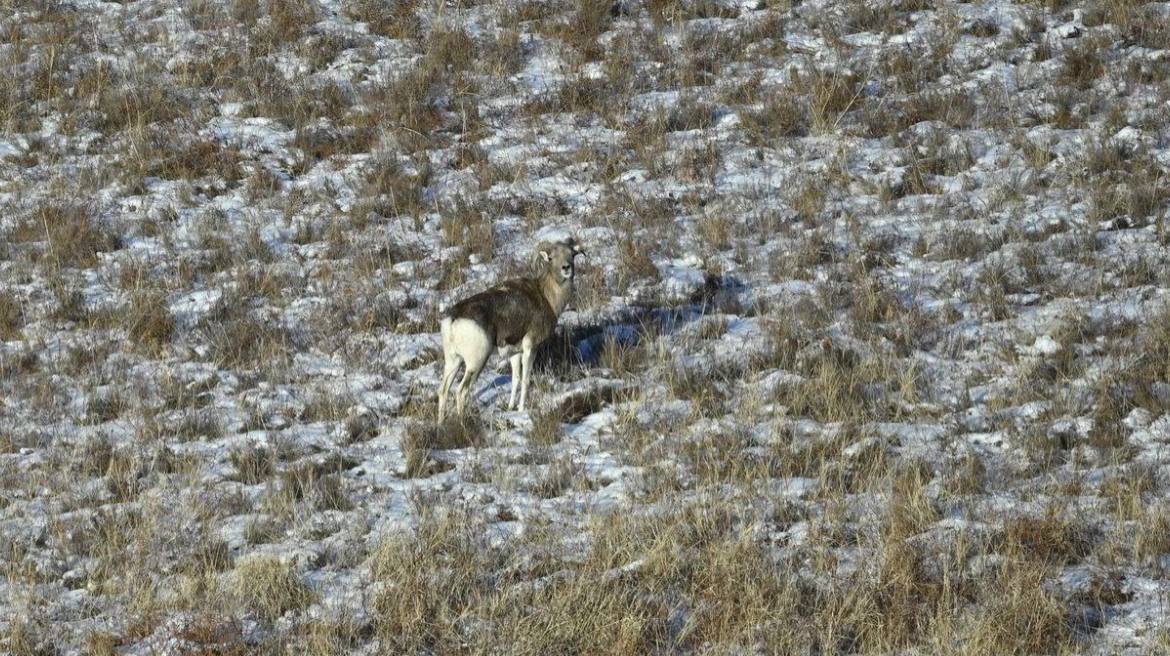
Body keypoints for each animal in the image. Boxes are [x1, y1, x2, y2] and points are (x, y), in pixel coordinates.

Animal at [439, 237, 585, 420]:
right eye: (551, 257)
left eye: (571, 254)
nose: (566, 268)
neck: (547, 297)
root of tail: (454, 320)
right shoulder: (531, 348)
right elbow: (525, 380)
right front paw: (521, 410)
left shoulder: (515, 353)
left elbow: (516, 379)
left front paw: (510, 407)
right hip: (476, 363)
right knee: (461, 391)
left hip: (453, 361)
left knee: (443, 391)